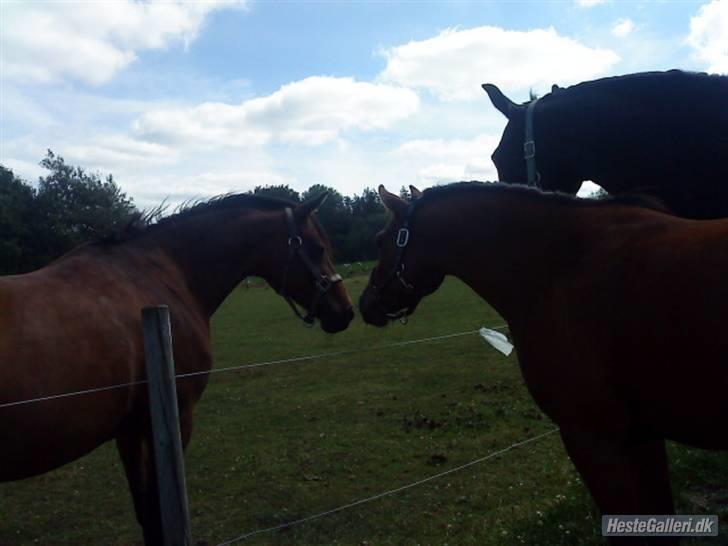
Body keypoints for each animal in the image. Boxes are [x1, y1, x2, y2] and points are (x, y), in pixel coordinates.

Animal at [0, 192, 354, 545]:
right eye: (317, 248)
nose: (346, 311)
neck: (161, 275)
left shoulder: (131, 430)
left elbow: (148, 516)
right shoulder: (176, 419)